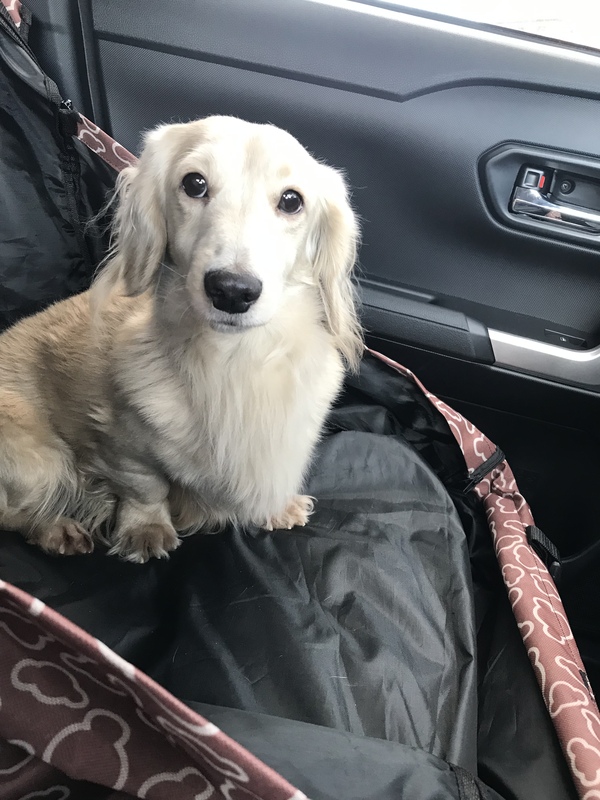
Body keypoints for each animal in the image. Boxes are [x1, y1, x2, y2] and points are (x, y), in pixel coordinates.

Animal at [0, 115, 362, 562]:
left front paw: (278, 508)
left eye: (292, 200)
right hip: (40, 459)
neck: (233, 361)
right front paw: (146, 530)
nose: (232, 291)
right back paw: (55, 528)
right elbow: (145, 487)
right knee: (14, 512)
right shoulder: (123, 445)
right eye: (195, 183)